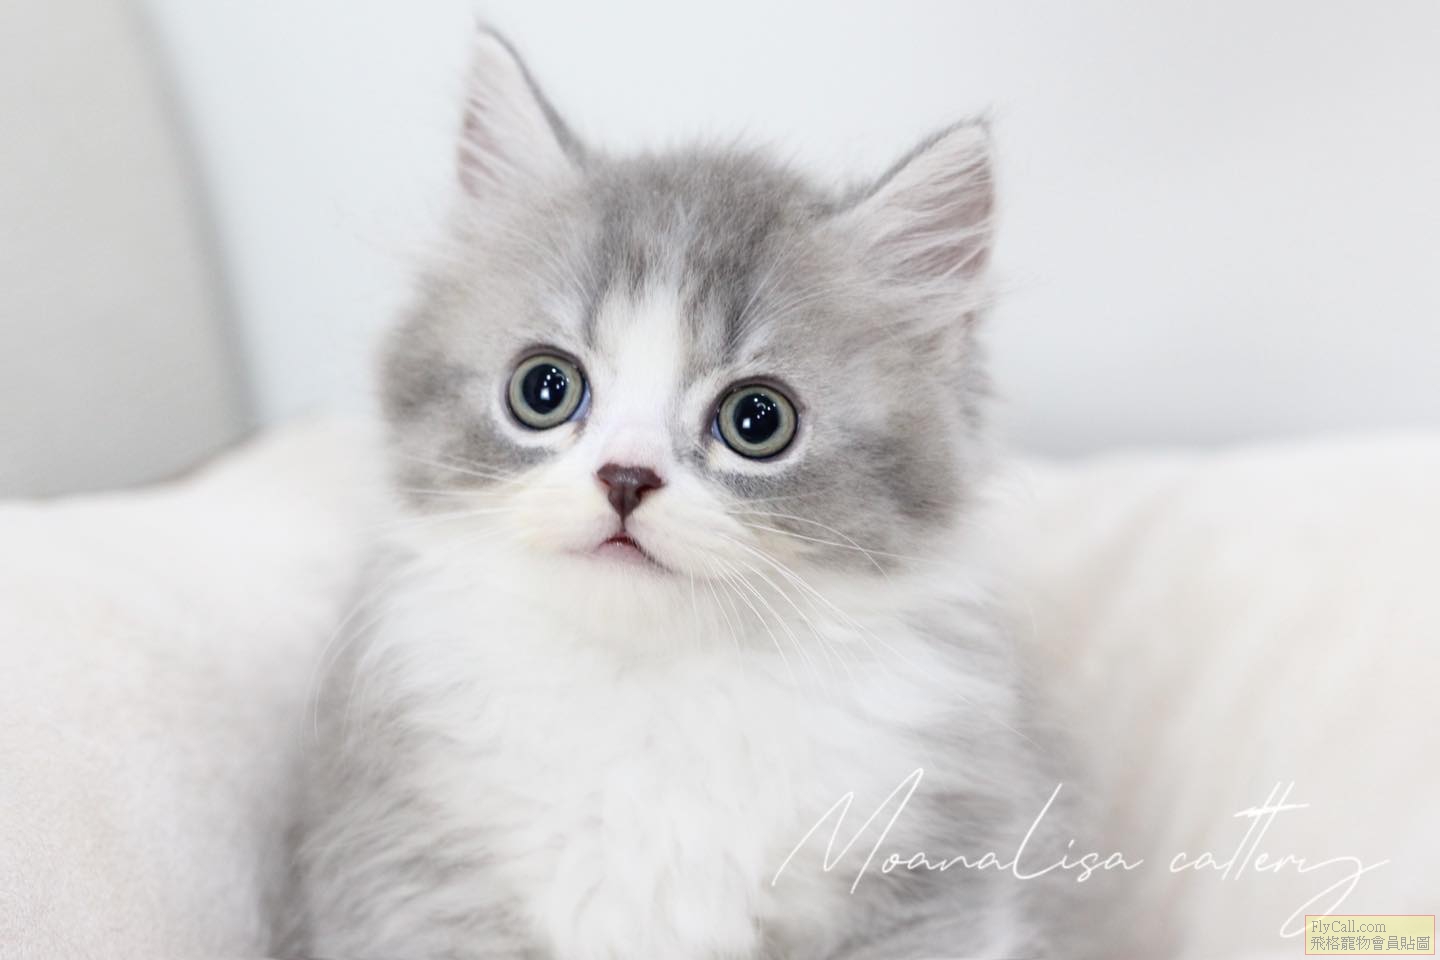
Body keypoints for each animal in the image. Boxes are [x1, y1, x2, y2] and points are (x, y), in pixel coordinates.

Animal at [285, 27, 1083, 960]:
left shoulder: (932, 889)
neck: (654, 700)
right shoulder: (410, 878)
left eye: (757, 419)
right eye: (543, 388)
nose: (626, 477)